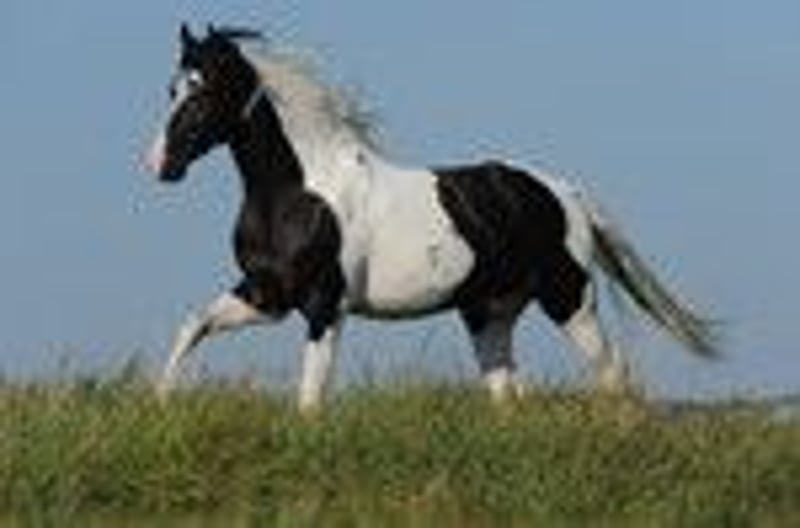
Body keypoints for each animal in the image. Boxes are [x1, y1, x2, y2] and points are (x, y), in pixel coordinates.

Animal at [144, 24, 717, 412]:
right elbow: (193, 325)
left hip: (569, 297)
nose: (158, 165)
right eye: (172, 89)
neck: (301, 194)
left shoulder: (324, 304)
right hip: (489, 312)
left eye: (203, 88)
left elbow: (310, 395)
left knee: (612, 371)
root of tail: (563, 192)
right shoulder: (267, 295)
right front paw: (161, 401)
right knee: (507, 393)